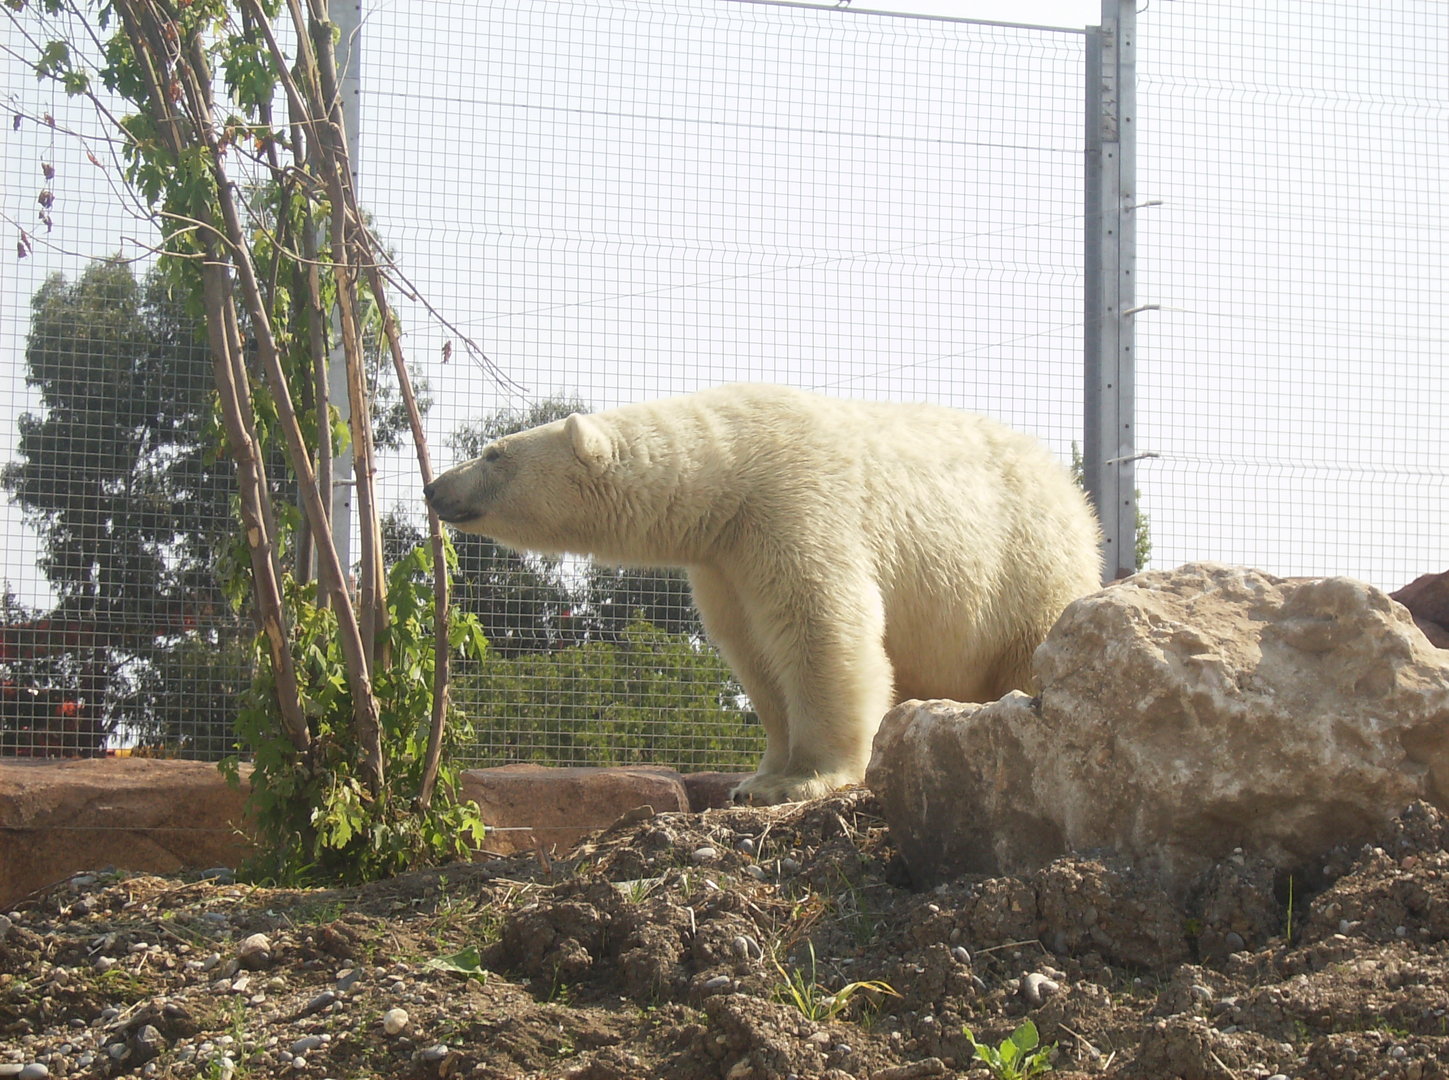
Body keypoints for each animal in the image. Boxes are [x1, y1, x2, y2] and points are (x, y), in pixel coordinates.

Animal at [424, 383, 1102, 804]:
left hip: (1026, 561)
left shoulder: (791, 503)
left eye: (494, 452)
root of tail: (1070, 490)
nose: (433, 487)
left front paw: (800, 782)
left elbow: (821, 625)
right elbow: (753, 652)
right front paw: (755, 778)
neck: (726, 468)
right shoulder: (723, 559)